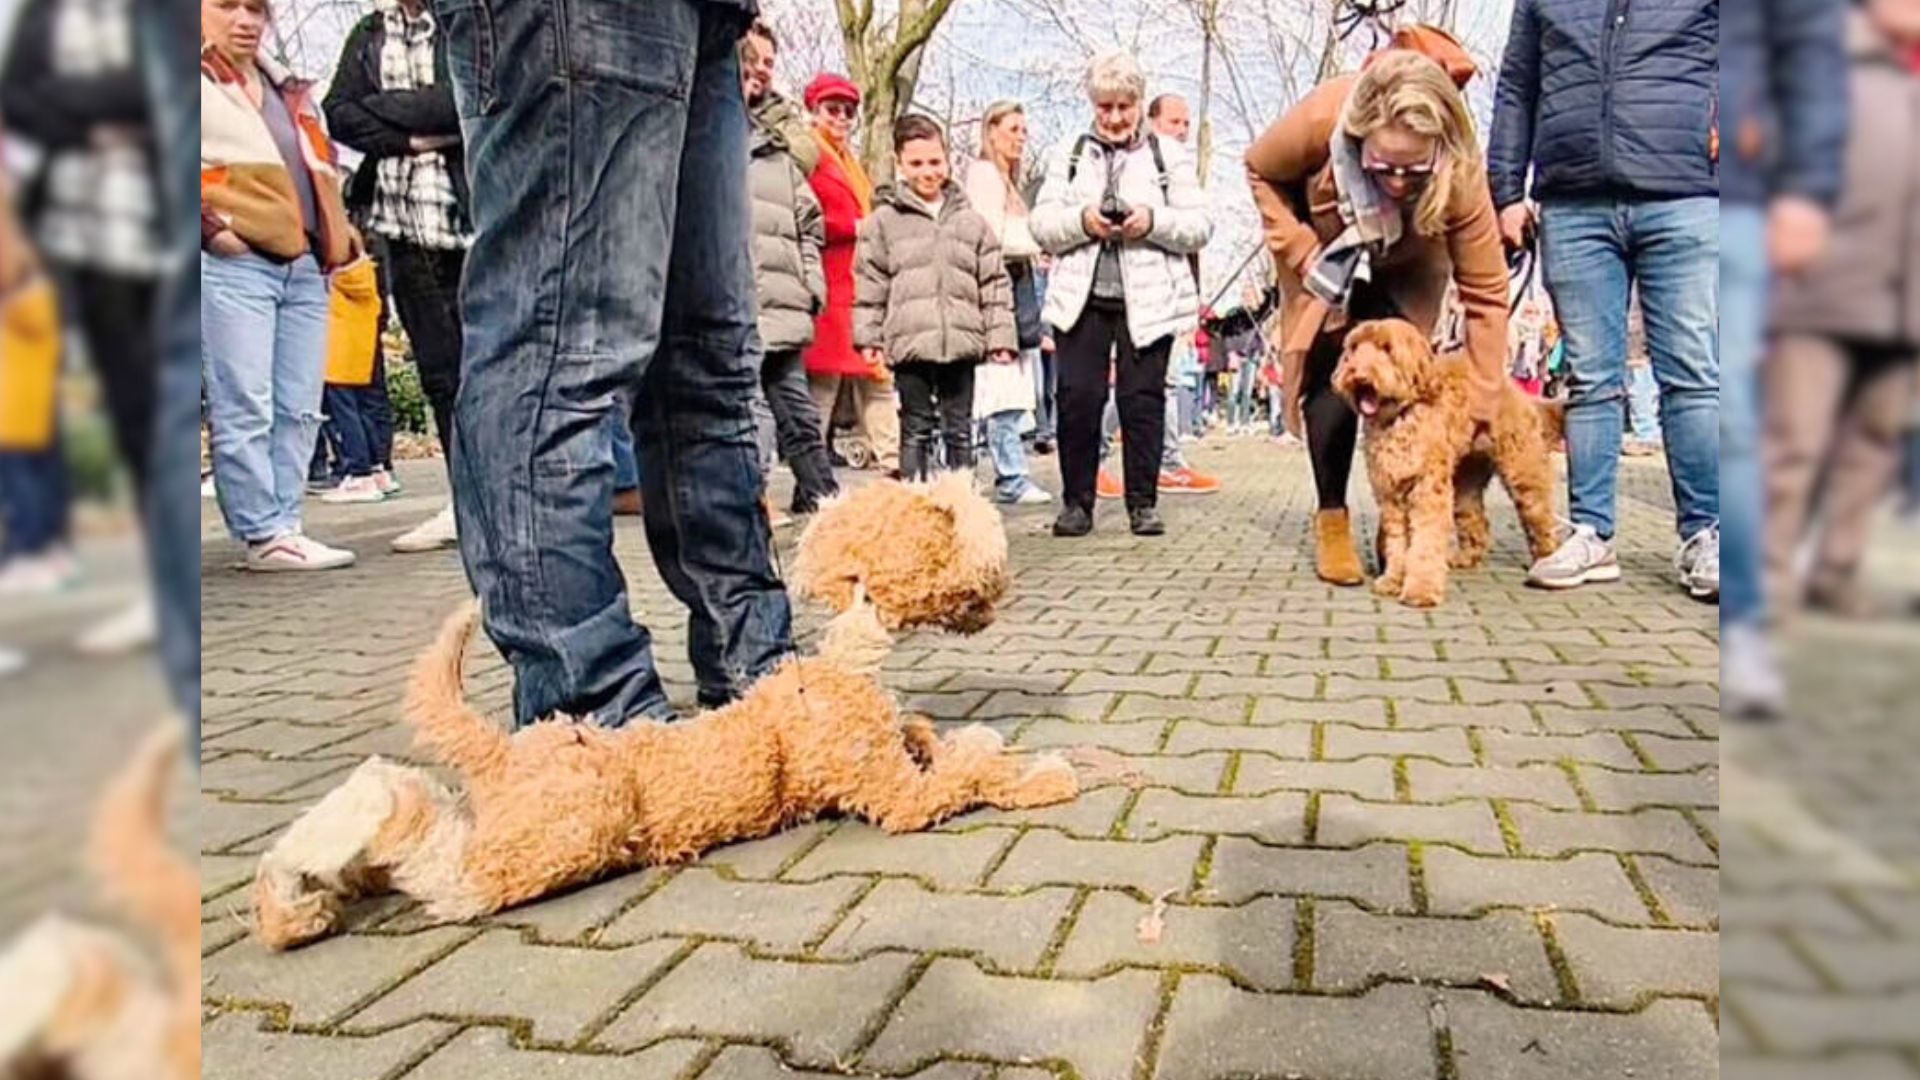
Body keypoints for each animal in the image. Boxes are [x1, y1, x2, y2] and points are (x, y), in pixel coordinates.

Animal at [247, 474, 1075, 945]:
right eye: (963, 521)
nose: (998, 593)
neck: (846, 656)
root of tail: (504, 751)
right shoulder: (895, 797)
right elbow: (961, 778)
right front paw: (1028, 768)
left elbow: (924, 737)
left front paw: (939, 732)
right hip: (562, 834)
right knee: (433, 856)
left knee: (383, 833)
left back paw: (297, 907)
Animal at [1336, 317, 1559, 607]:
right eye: (1354, 348)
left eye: (1387, 348)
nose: (1358, 376)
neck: (1400, 417)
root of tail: (1513, 386)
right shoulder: (1391, 496)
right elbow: (1397, 542)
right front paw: (1394, 580)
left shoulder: (1427, 490)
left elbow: (1425, 542)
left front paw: (1421, 590)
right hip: (1465, 483)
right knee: (1476, 520)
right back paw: (1466, 557)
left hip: (1523, 472)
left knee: (1541, 516)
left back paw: (1548, 559)